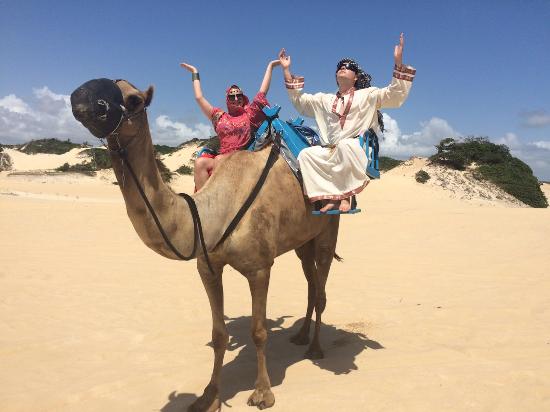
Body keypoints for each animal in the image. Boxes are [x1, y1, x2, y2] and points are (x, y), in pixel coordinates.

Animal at [70, 79, 340, 410]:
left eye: (134, 100)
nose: (81, 99)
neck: (212, 213)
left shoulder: (260, 268)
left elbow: (259, 331)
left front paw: (263, 393)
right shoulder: (208, 268)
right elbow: (219, 334)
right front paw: (208, 396)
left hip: (329, 226)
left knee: (322, 285)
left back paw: (315, 348)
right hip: (303, 239)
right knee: (311, 281)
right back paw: (300, 336)